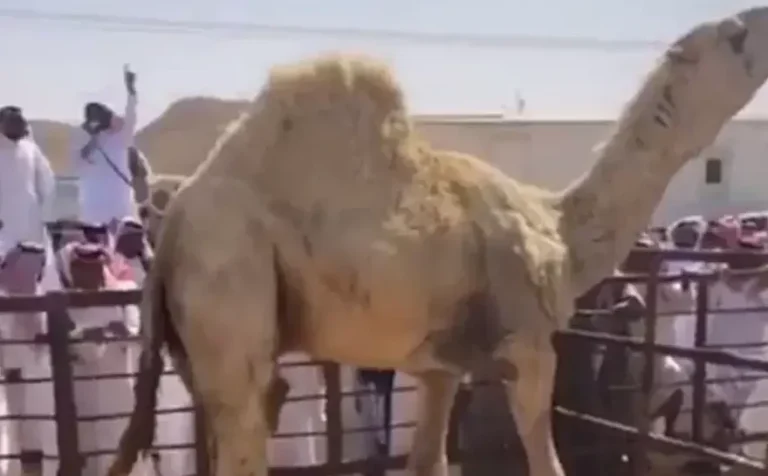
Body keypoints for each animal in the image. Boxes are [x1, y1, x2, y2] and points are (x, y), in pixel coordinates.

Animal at [109, 8, 768, 476]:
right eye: (735, 36)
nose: (758, 15)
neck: (558, 229)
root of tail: (170, 227)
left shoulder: (439, 364)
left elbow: (428, 460)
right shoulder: (528, 346)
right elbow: (546, 461)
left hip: (195, 338)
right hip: (232, 283)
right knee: (247, 424)